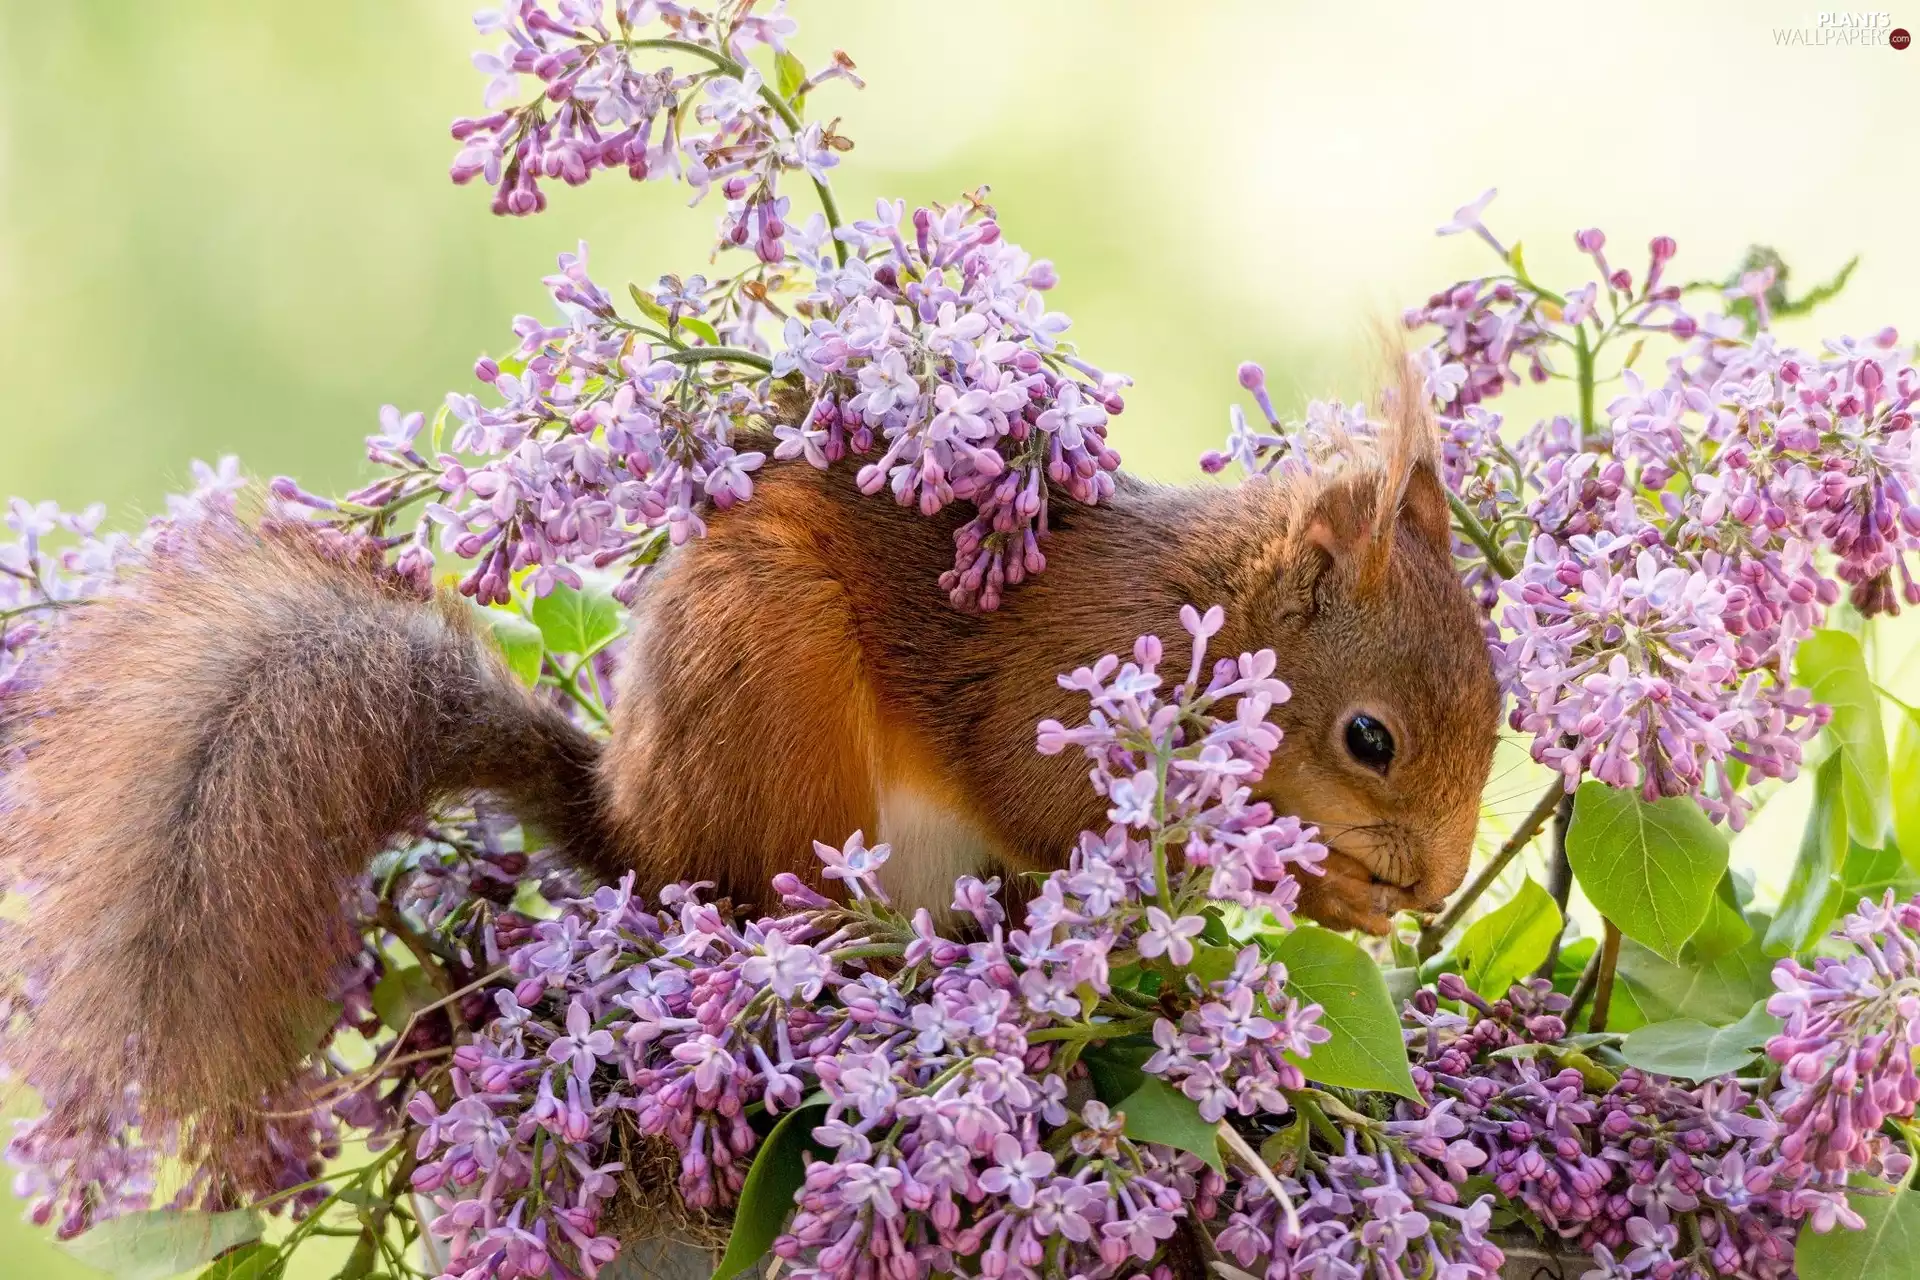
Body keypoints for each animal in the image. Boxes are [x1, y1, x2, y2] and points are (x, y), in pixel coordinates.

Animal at [0, 357, 1499, 1162]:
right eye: (1370, 738)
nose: (1431, 884)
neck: (1212, 609)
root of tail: (635, 830)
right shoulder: (1059, 677)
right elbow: (1047, 799)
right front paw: (1325, 888)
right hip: (776, 701)